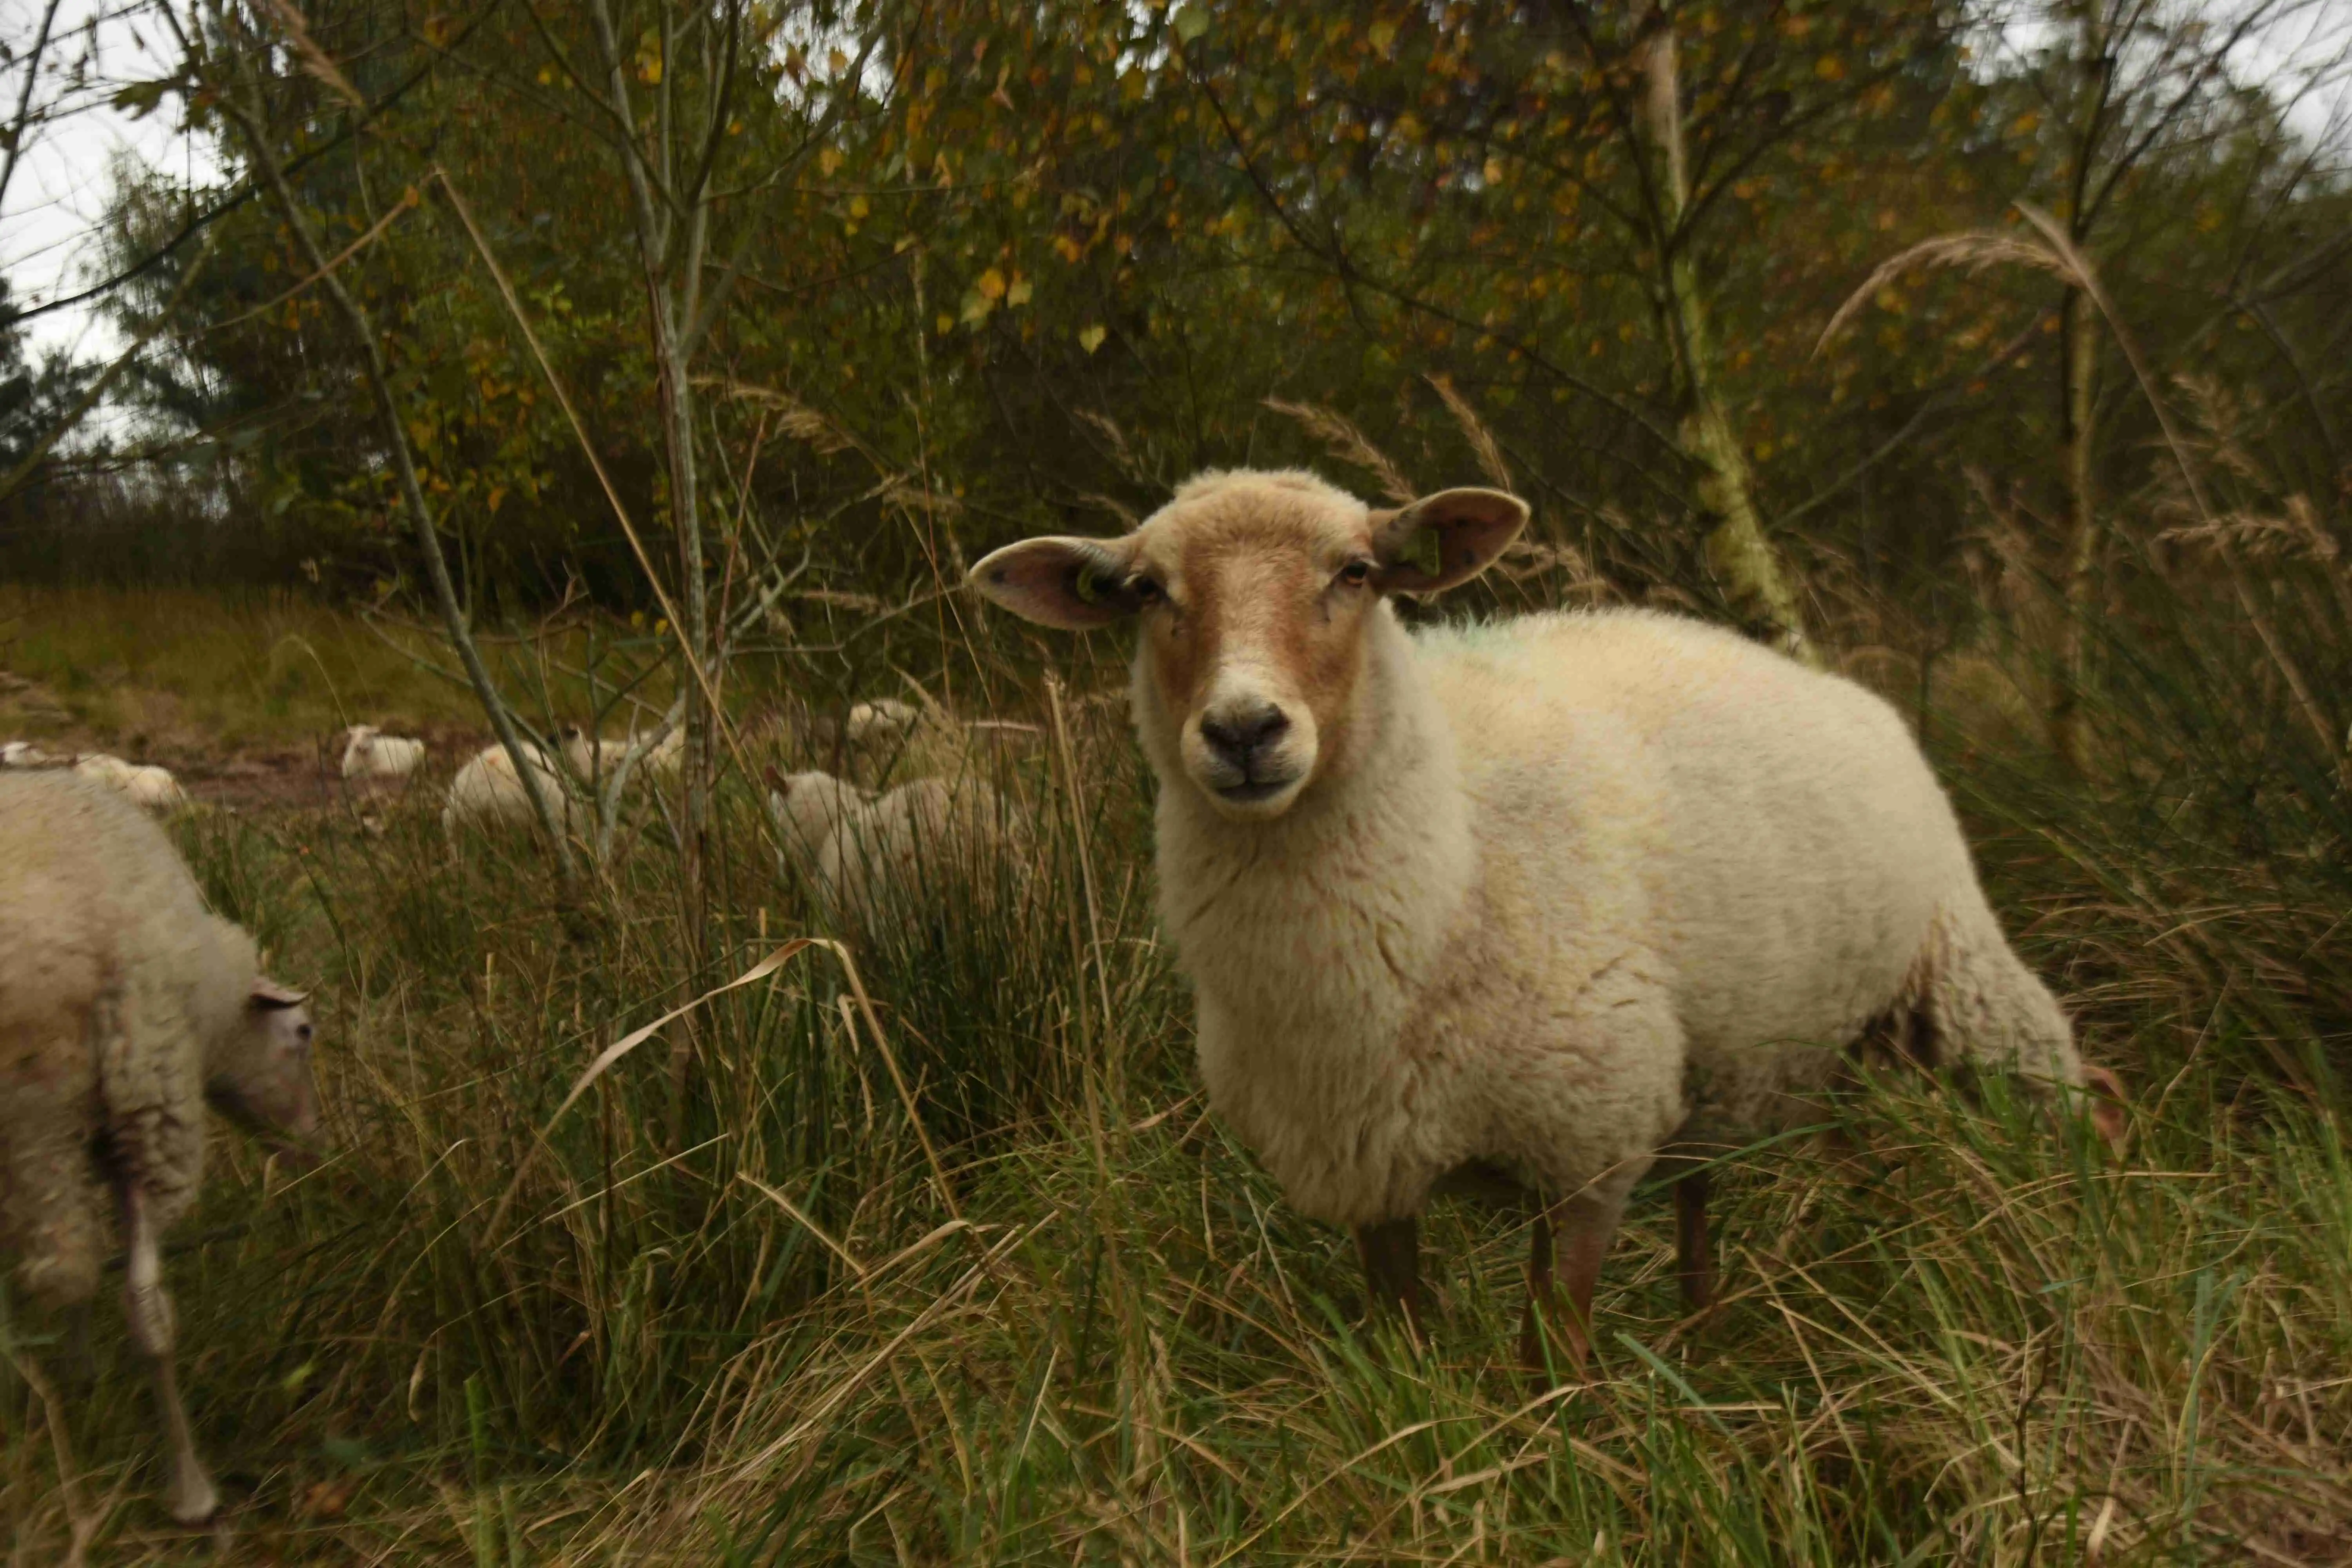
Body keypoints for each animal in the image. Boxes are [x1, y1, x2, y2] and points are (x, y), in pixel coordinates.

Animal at [0, 771, 320, 1524]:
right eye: (303, 1034)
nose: (313, 1145)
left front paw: (78, 1378)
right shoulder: (150, 1096)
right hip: (140, 1091)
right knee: (129, 1295)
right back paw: (193, 1490)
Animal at [339, 724, 427, 784]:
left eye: (368, 735)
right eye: (353, 736)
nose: (357, 746)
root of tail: (408, 742)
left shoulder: (390, 767)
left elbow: (372, 772)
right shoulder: (346, 772)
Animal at [969, 467, 2126, 1371]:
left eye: (1356, 573)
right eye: (1146, 591)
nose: (1245, 730)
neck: (1450, 866)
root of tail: (1837, 683)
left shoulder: (1587, 1147)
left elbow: (1551, 1363)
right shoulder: (1369, 1168)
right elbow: (1409, 1357)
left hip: (1958, 973)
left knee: (2081, 1095)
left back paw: (2095, 1249)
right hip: (1742, 1063)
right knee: (1714, 1207)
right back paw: (1710, 1339)